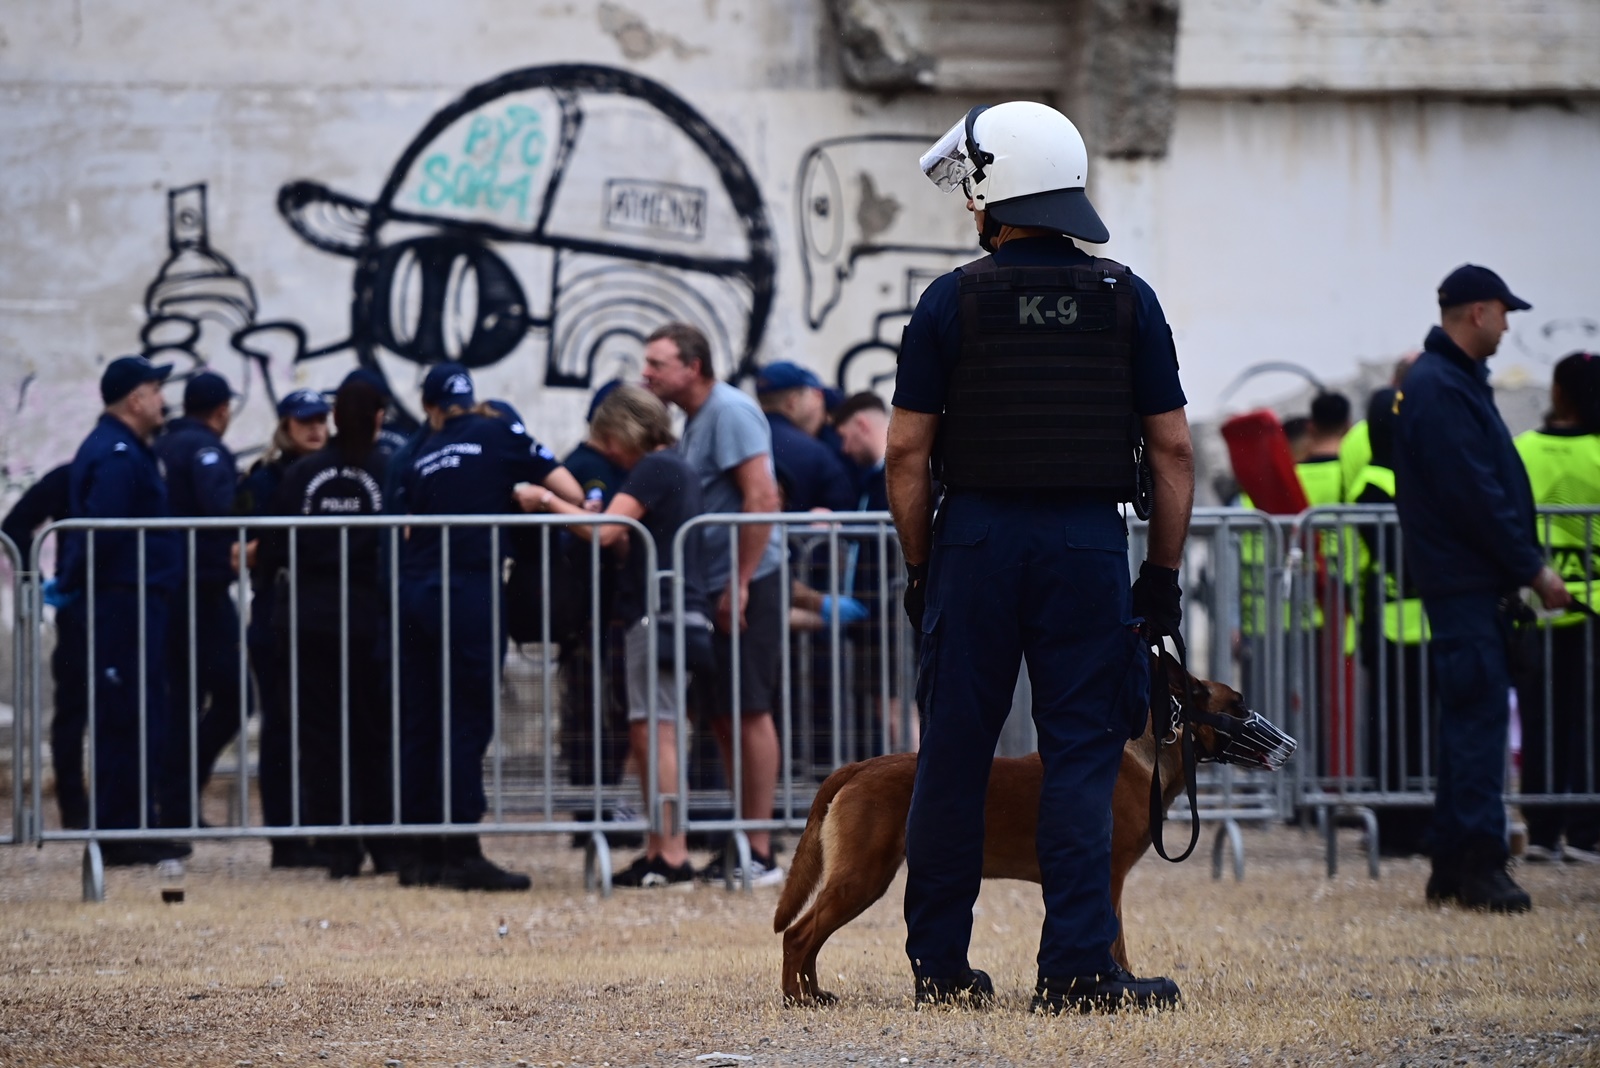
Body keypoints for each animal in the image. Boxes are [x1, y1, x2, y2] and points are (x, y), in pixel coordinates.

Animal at [768, 645, 1292, 1004]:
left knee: (811, 938)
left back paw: (814, 994)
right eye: (1238, 704)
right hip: (863, 878)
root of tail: (857, 766)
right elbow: (1114, 940)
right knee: (798, 935)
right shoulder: (1107, 878)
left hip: (862, 881)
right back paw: (796, 999)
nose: (1287, 742)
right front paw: (1118, 985)